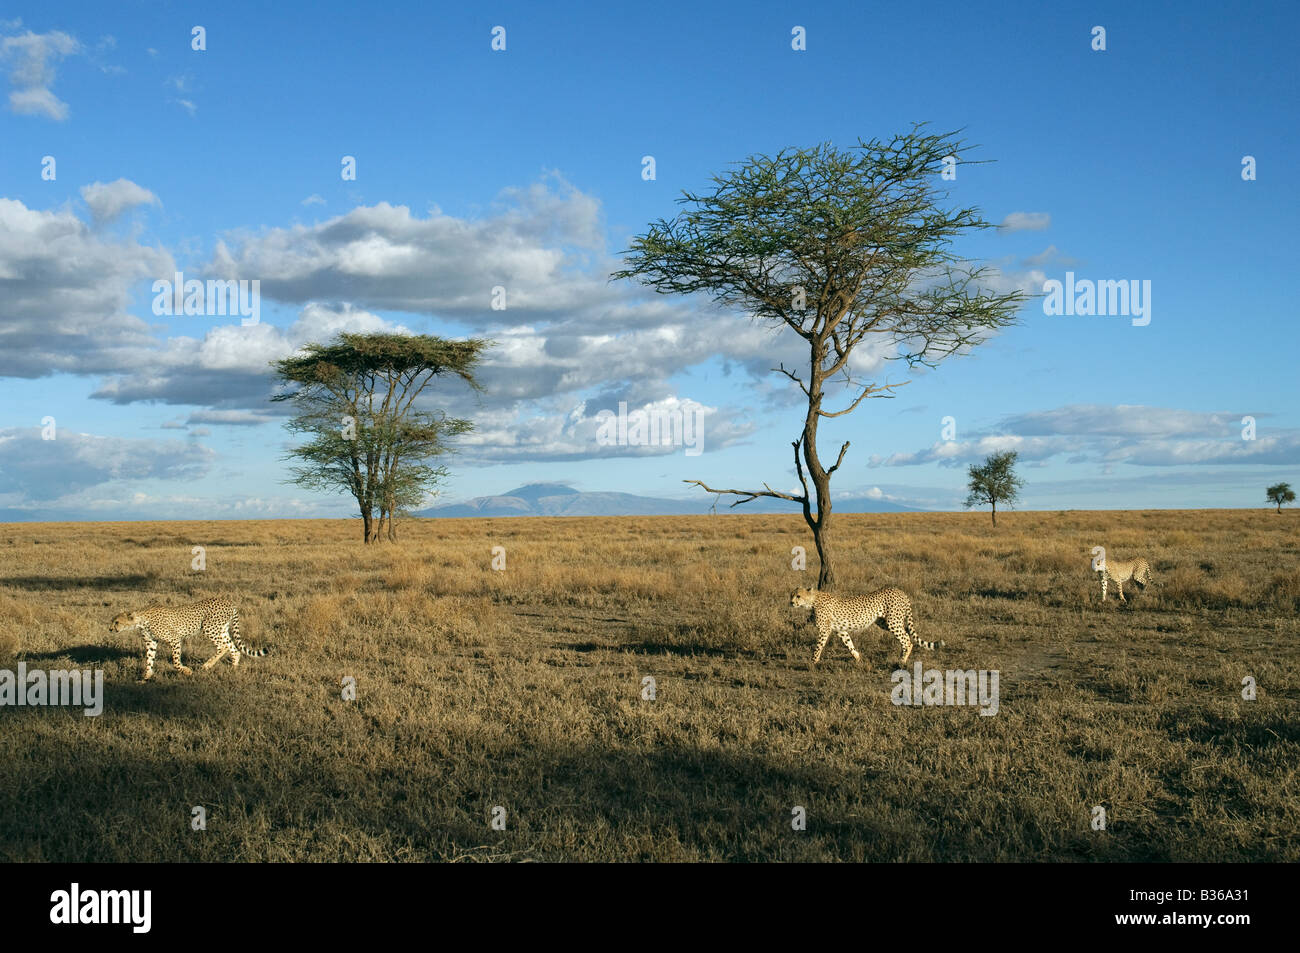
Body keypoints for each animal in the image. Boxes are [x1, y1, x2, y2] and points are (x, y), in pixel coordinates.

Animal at [109, 597, 267, 682]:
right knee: (233, 647)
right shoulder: (151, 642)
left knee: (223, 647)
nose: (110, 629)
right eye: (112, 621)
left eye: (116, 622)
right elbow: (149, 659)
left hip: (209, 627)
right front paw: (146, 677)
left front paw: (186, 671)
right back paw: (233, 668)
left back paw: (207, 665)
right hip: (221, 629)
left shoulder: (174, 639)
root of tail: (228, 601)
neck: (141, 620)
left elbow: (175, 662)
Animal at [790, 586, 943, 666]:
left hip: (892, 622)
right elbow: (849, 644)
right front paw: (858, 658)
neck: (812, 600)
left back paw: (902, 660)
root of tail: (899, 590)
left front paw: (813, 661)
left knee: (907, 639)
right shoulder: (841, 630)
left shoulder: (824, 630)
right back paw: (901, 656)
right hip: (885, 622)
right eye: (791, 595)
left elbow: (818, 646)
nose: (791, 602)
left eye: (798, 596)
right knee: (905, 634)